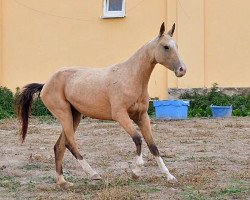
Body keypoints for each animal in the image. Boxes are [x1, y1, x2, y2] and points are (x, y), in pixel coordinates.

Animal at [15, 22, 186, 188]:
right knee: (70, 143)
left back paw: (63, 182)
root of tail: (45, 84)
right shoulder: (121, 115)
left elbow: (153, 145)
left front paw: (170, 177)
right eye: (166, 46)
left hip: (74, 116)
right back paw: (93, 174)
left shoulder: (142, 116)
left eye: (177, 45)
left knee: (59, 146)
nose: (182, 70)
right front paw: (136, 173)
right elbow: (138, 139)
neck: (130, 77)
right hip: (64, 114)